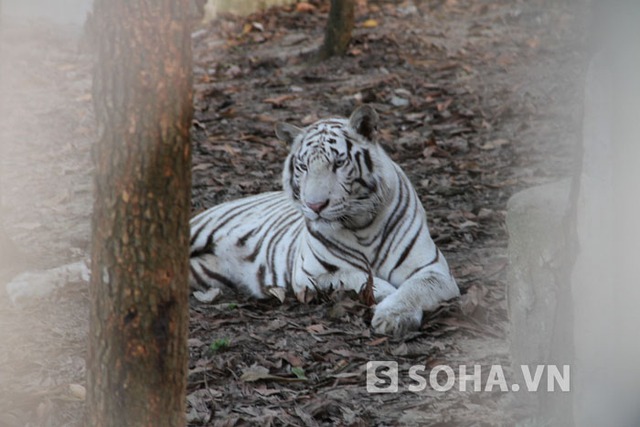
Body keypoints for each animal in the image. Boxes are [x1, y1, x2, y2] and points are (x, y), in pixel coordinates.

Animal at [188, 105, 458, 336]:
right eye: (303, 166)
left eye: (338, 163)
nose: (315, 206)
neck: (361, 226)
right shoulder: (310, 273)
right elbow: (358, 277)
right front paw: (384, 294)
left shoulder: (434, 270)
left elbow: (415, 288)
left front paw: (392, 316)